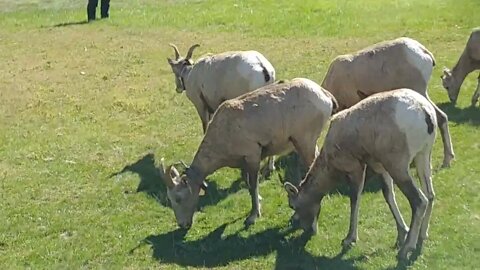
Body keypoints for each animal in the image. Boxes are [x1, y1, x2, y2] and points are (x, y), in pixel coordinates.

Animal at [159, 79, 336, 229]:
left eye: (178, 198)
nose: (183, 225)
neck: (224, 131)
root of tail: (325, 95)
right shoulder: (243, 163)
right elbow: (248, 184)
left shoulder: (252, 157)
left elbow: (253, 186)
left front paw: (253, 216)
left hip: (305, 142)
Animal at [168, 43, 278, 172]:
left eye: (174, 71)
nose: (178, 89)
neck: (190, 73)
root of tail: (263, 68)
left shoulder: (201, 106)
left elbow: (205, 126)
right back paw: (271, 166)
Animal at [284, 88, 438, 260]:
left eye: (292, 205)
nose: (306, 230)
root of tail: (424, 111)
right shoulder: (381, 168)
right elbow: (388, 195)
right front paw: (400, 234)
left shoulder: (356, 169)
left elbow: (355, 200)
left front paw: (349, 239)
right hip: (423, 156)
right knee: (430, 194)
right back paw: (422, 236)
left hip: (399, 168)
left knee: (419, 201)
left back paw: (405, 250)